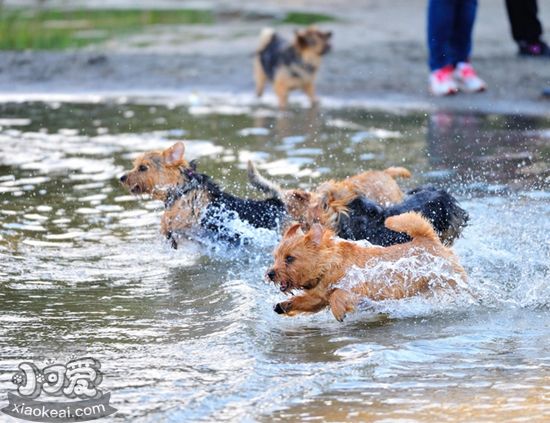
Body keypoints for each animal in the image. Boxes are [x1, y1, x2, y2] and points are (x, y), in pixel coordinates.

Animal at [268, 212, 466, 322]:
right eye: (275, 257)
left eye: (290, 258)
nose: (270, 273)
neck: (331, 265)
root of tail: (427, 240)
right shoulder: (318, 297)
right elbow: (305, 301)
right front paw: (283, 305)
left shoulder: (359, 287)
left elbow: (337, 295)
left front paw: (338, 311)